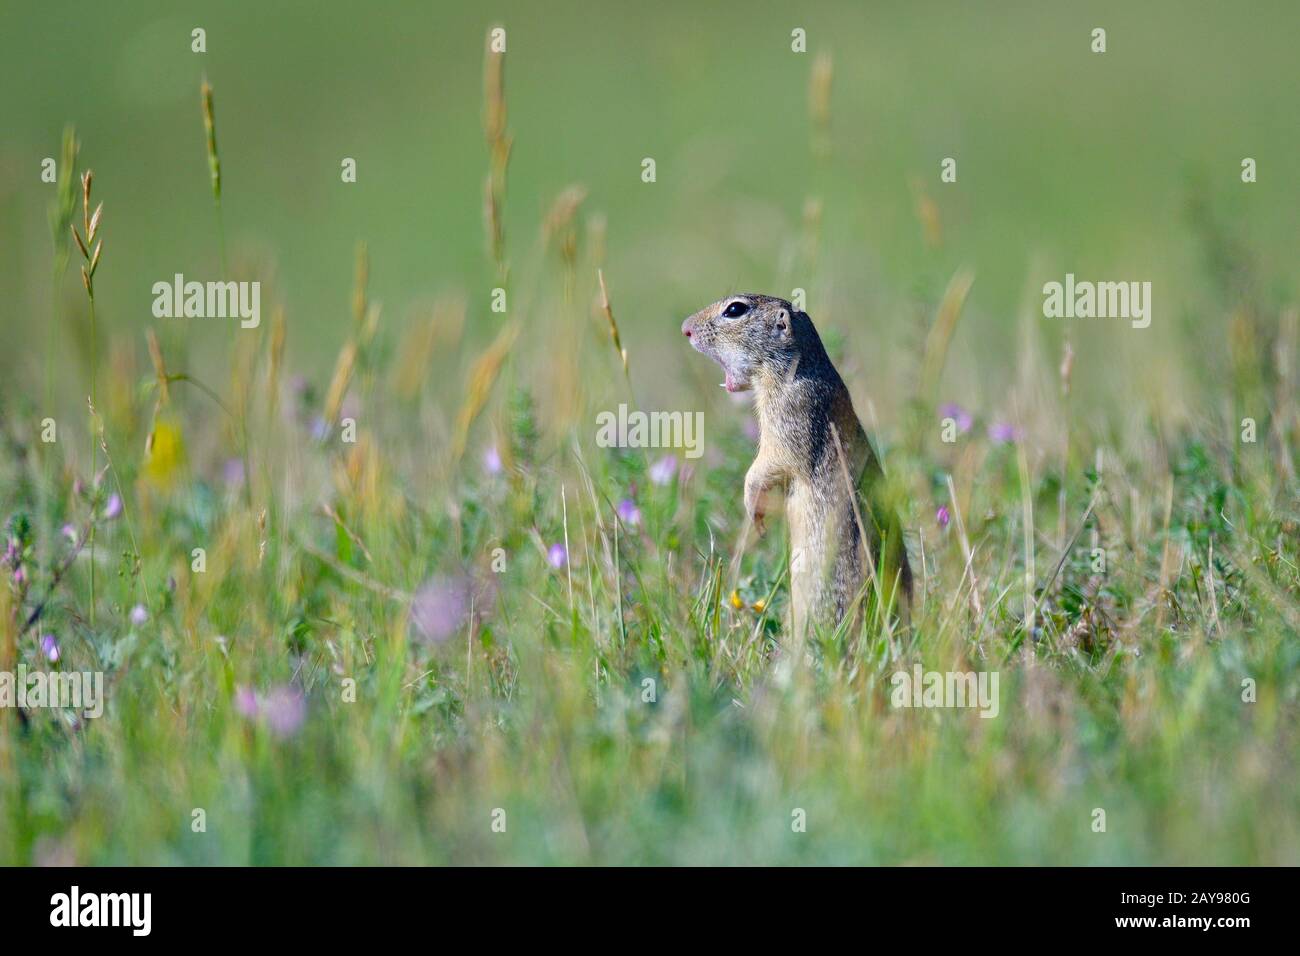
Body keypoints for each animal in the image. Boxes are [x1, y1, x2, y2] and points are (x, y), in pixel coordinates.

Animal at [682, 293, 910, 636]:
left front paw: (753, 508)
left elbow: (769, 464)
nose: (686, 329)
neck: (799, 367)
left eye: (735, 309)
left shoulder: (790, 416)